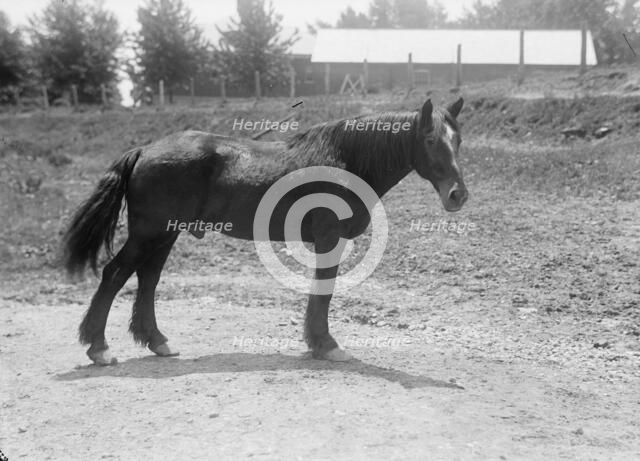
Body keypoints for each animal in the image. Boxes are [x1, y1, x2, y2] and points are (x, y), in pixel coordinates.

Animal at [62, 97, 468, 366]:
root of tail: (145, 150)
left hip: (165, 235)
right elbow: (324, 291)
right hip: (149, 234)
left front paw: (316, 342)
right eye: (430, 140)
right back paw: (99, 348)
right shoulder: (329, 239)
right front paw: (325, 344)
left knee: (147, 279)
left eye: (458, 139)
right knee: (115, 274)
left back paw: (157, 341)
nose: (458, 194)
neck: (345, 160)